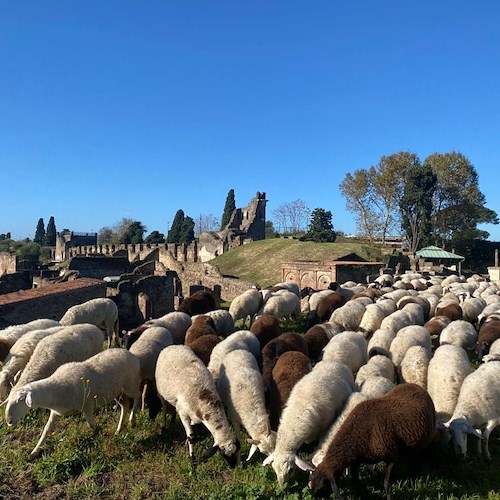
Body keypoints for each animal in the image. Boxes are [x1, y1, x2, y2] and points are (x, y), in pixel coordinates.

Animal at [5, 346, 142, 458]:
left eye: (20, 400)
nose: (8, 421)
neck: (57, 387)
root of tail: (132, 354)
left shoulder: (87, 406)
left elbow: (91, 425)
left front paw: (97, 436)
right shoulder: (55, 412)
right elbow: (46, 430)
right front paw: (34, 452)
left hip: (130, 385)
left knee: (138, 396)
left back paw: (132, 420)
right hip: (118, 392)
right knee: (125, 406)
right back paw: (119, 429)